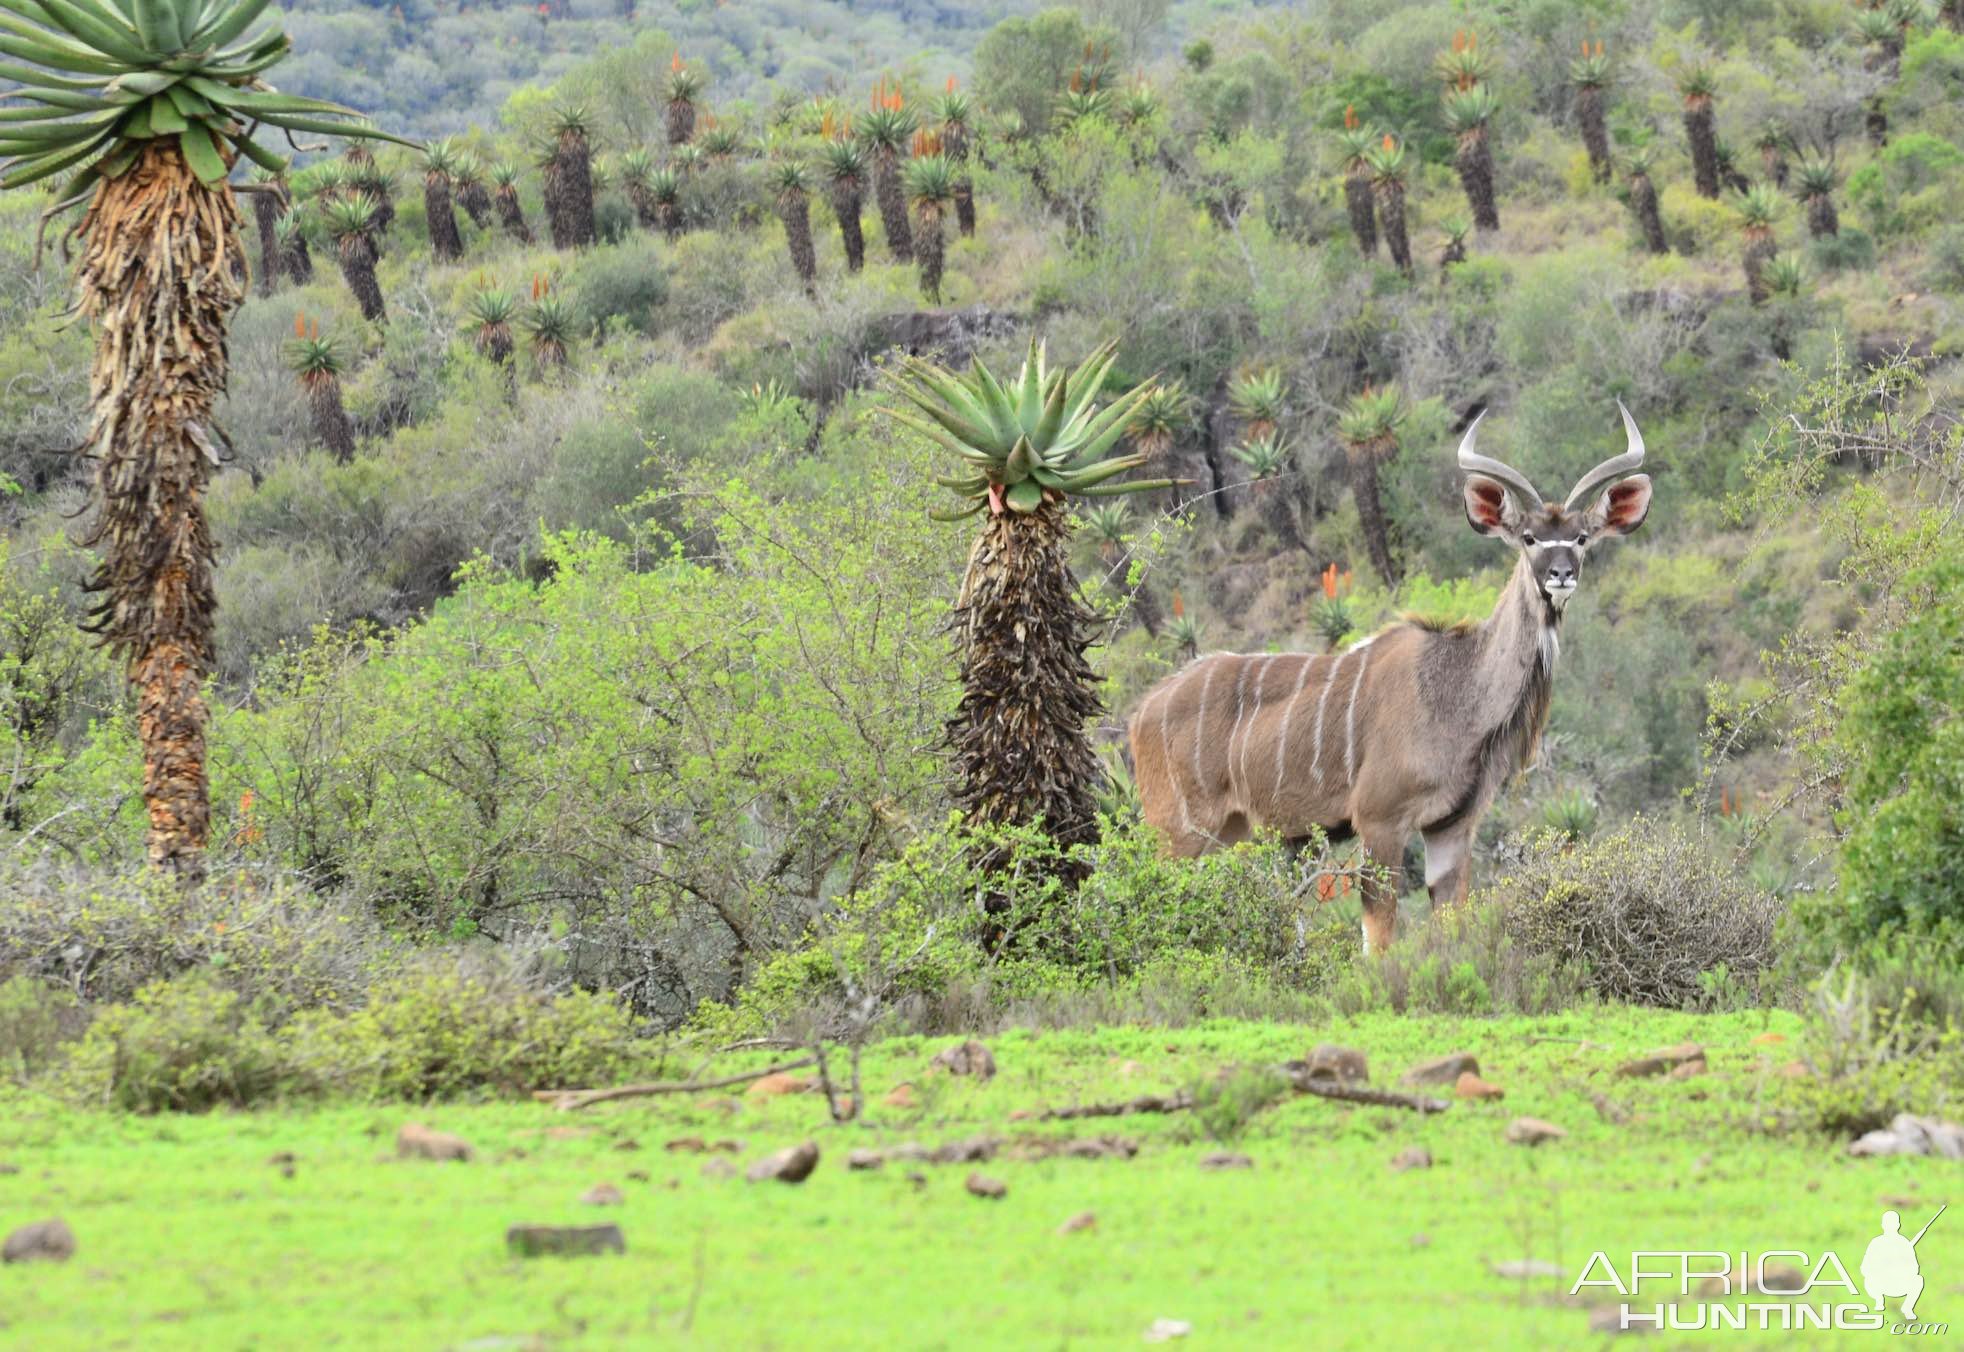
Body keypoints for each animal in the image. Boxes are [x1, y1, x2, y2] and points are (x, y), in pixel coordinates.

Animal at [1131, 400, 1649, 951]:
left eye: (1581, 537)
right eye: (1529, 537)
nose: (1560, 574)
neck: (1456, 688)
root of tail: (1142, 712)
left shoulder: (1451, 827)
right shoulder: (1380, 821)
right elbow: (1378, 941)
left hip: (1230, 834)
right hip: (1179, 832)